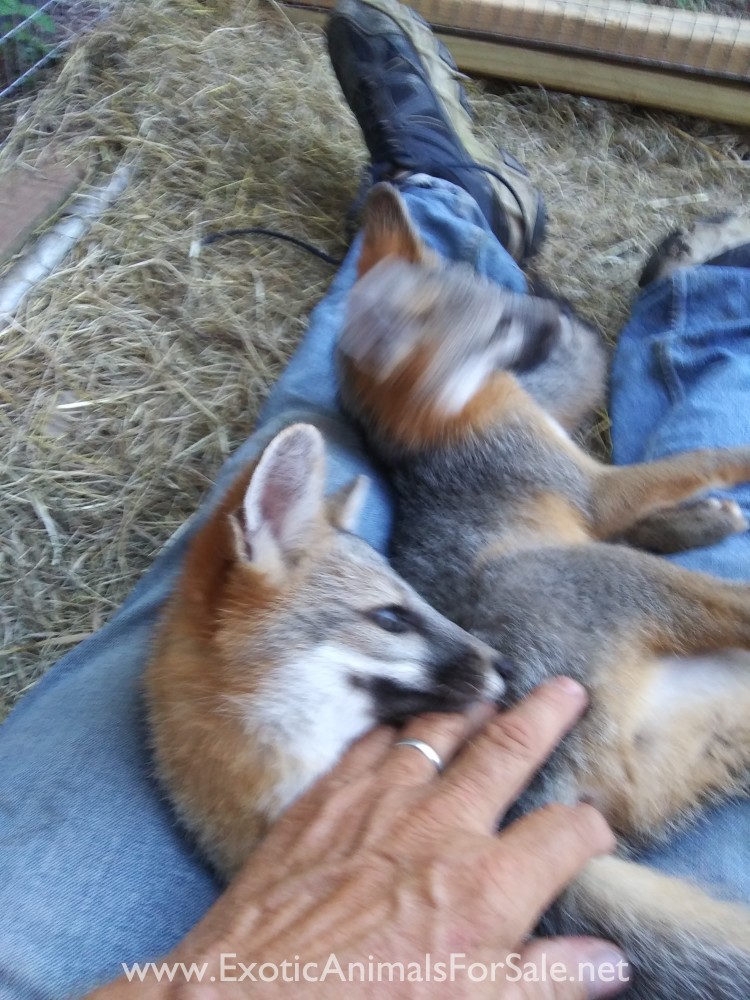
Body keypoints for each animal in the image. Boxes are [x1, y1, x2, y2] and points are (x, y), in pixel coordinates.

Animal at [336, 183, 750, 1000]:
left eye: (497, 291)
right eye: (499, 326)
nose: (556, 318)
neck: (445, 425)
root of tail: (542, 799)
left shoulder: (578, 461)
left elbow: (654, 506)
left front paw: (693, 518)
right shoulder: (590, 489)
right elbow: (702, 457)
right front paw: (728, 474)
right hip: (627, 587)